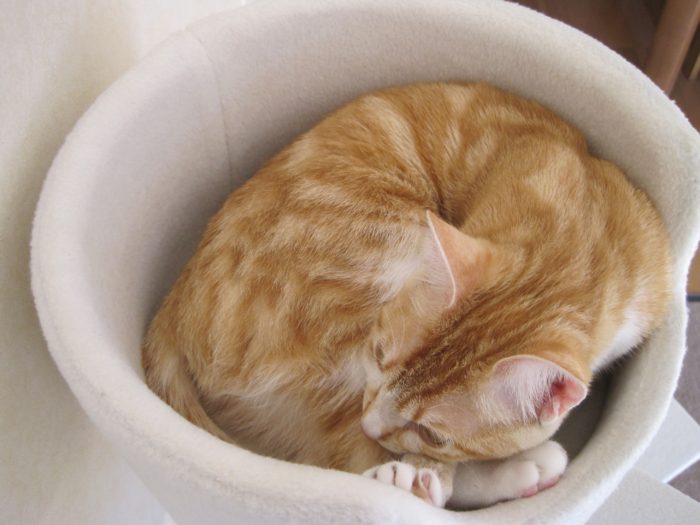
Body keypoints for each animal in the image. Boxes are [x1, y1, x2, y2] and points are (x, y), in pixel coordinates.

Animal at [142, 82, 671, 509]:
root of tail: (173, 307)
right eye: (377, 353)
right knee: (357, 467)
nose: (373, 426)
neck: (581, 233)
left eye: (431, 432)